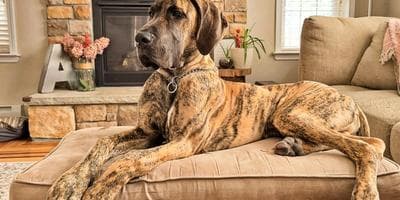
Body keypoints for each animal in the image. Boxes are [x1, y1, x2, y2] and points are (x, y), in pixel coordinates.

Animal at [46, 0, 384, 200]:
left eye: (176, 13)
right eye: (150, 12)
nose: (139, 38)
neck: (175, 77)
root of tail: (350, 99)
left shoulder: (183, 141)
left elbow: (131, 160)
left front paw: (102, 187)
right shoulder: (147, 133)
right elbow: (101, 143)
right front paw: (70, 181)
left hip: (293, 113)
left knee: (368, 145)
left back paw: (364, 189)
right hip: (288, 120)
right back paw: (292, 146)